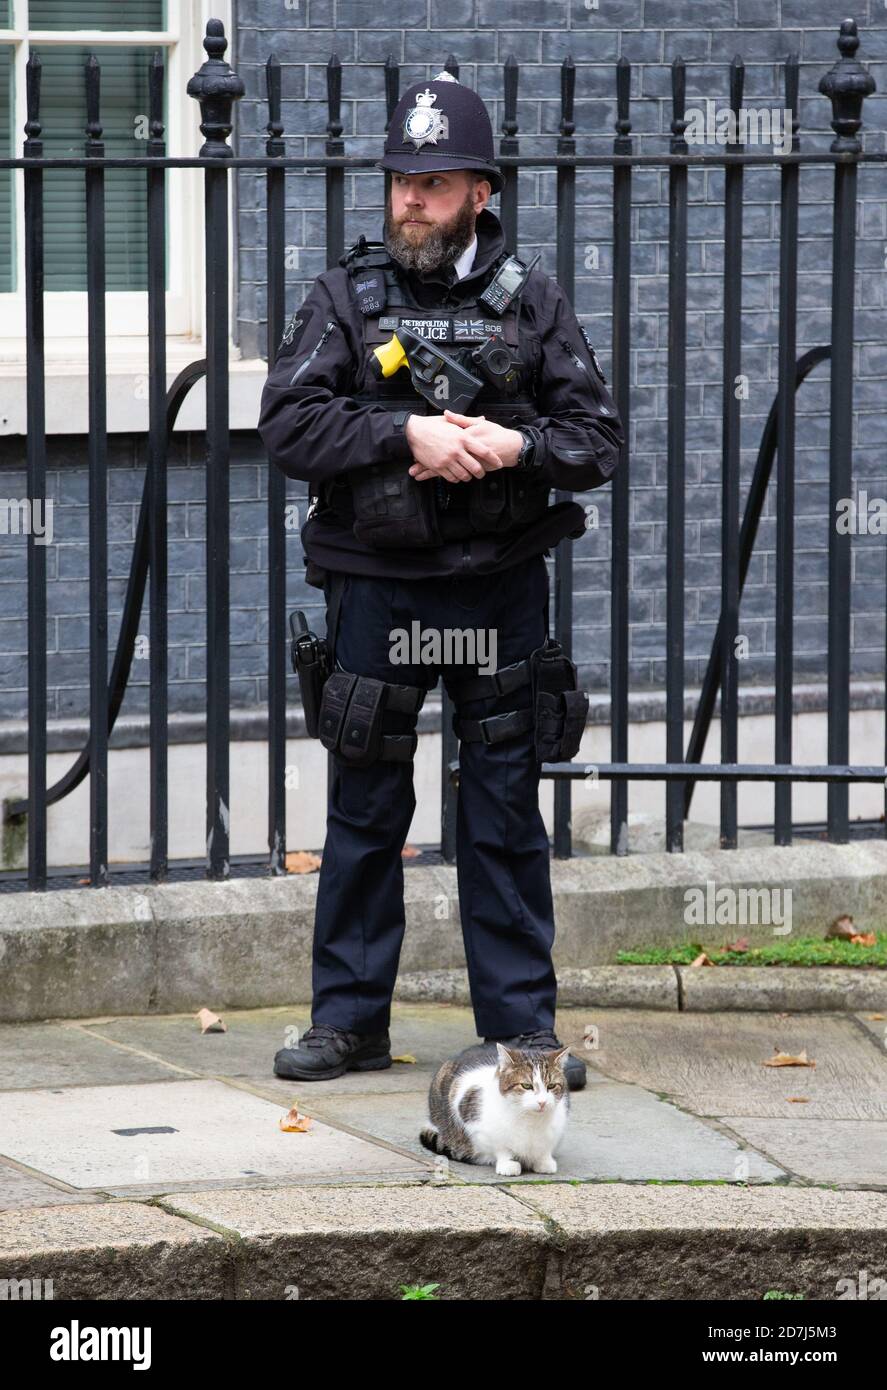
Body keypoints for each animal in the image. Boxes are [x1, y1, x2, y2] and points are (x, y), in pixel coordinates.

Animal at [419, 1045, 572, 1173]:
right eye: (526, 1086)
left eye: (551, 1086)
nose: (542, 1102)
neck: (530, 1120)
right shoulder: (474, 1122)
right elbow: (501, 1147)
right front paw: (507, 1164)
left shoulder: (557, 1129)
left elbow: (545, 1148)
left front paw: (544, 1161)